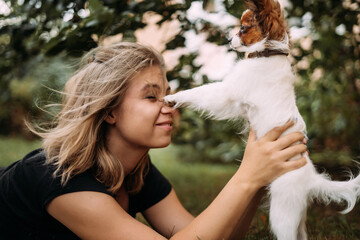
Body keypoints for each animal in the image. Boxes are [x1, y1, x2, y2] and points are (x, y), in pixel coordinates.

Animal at [165, 0, 360, 239]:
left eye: (243, 28)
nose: (228, 39)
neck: (267, 54)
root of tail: (310, 179)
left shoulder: (226, 93)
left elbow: (199, 92)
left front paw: (173, 98)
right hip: (298, 217)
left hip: (281, 214)